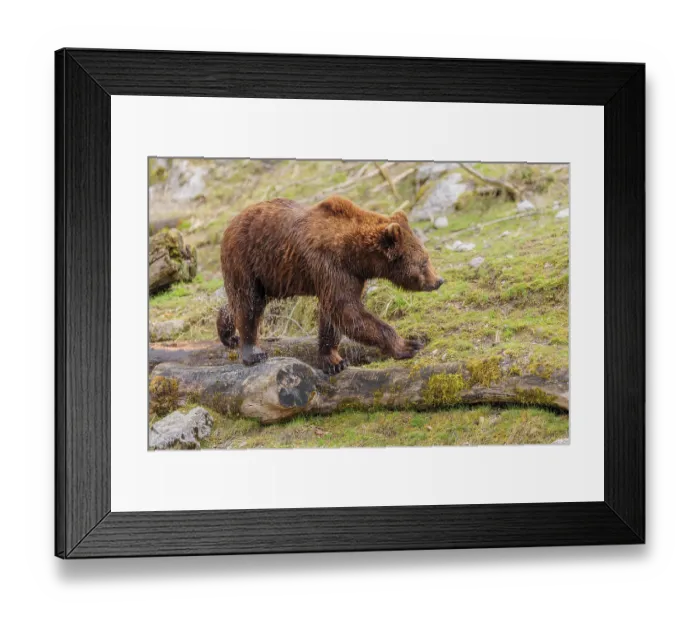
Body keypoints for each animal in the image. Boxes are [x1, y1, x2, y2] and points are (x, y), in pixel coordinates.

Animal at [217, 195, 445, 374]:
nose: (438, 280)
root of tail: (231, 221)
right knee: (249, 302)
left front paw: (334, 360)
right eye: (424, 261)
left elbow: (333, 316)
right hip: (247, 258)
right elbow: (346, 310)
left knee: (242, 302)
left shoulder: (349, 275)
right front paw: (409, 345)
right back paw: (252, 352)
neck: (356, 255)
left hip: (271, 275)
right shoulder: (330, 264)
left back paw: (228, 334)